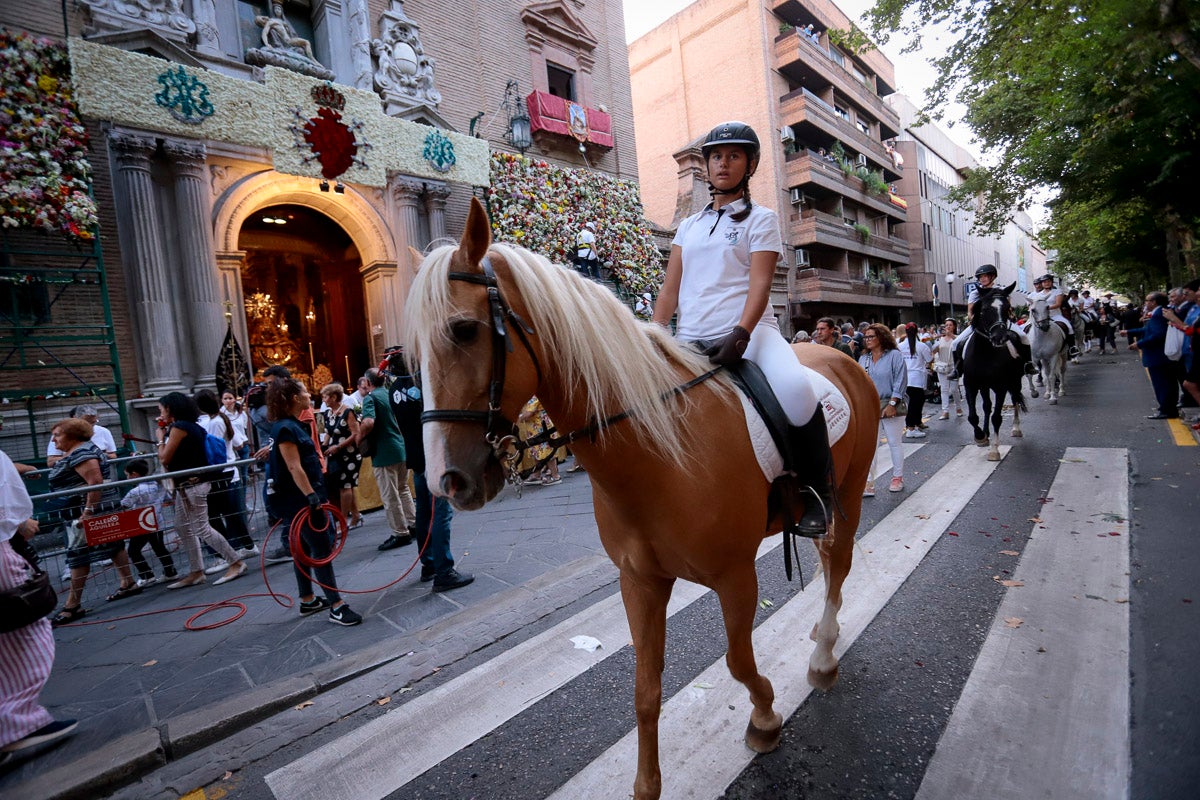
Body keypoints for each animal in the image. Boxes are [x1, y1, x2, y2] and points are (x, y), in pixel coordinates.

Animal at [403, 196, 883, 796]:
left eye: (465, 330)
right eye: (411, 354)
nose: (445, 482)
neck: (661, 452)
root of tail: (840, 356)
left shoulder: (735, 576)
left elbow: (738, 661)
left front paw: (766, 717)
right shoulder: (640, 581)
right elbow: (645, 691)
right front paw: (646, 784)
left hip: (849, 490)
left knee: (838, 564)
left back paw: (822, 657)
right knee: (825, 562)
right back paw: (822, 633)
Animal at [960, 281, 1027, 460]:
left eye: (1007, 309)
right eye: (984, 309)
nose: (1000, 338)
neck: (984, 353)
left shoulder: (1001, 387)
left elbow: (997, 417)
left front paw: (994, 450)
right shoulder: (971, 384)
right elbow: (973, 416)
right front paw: (980, 437)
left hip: (1015, 381)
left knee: (1015, 400)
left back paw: (1016, 429)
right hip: (984, 386)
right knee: (987, 406)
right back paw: (986, 432)